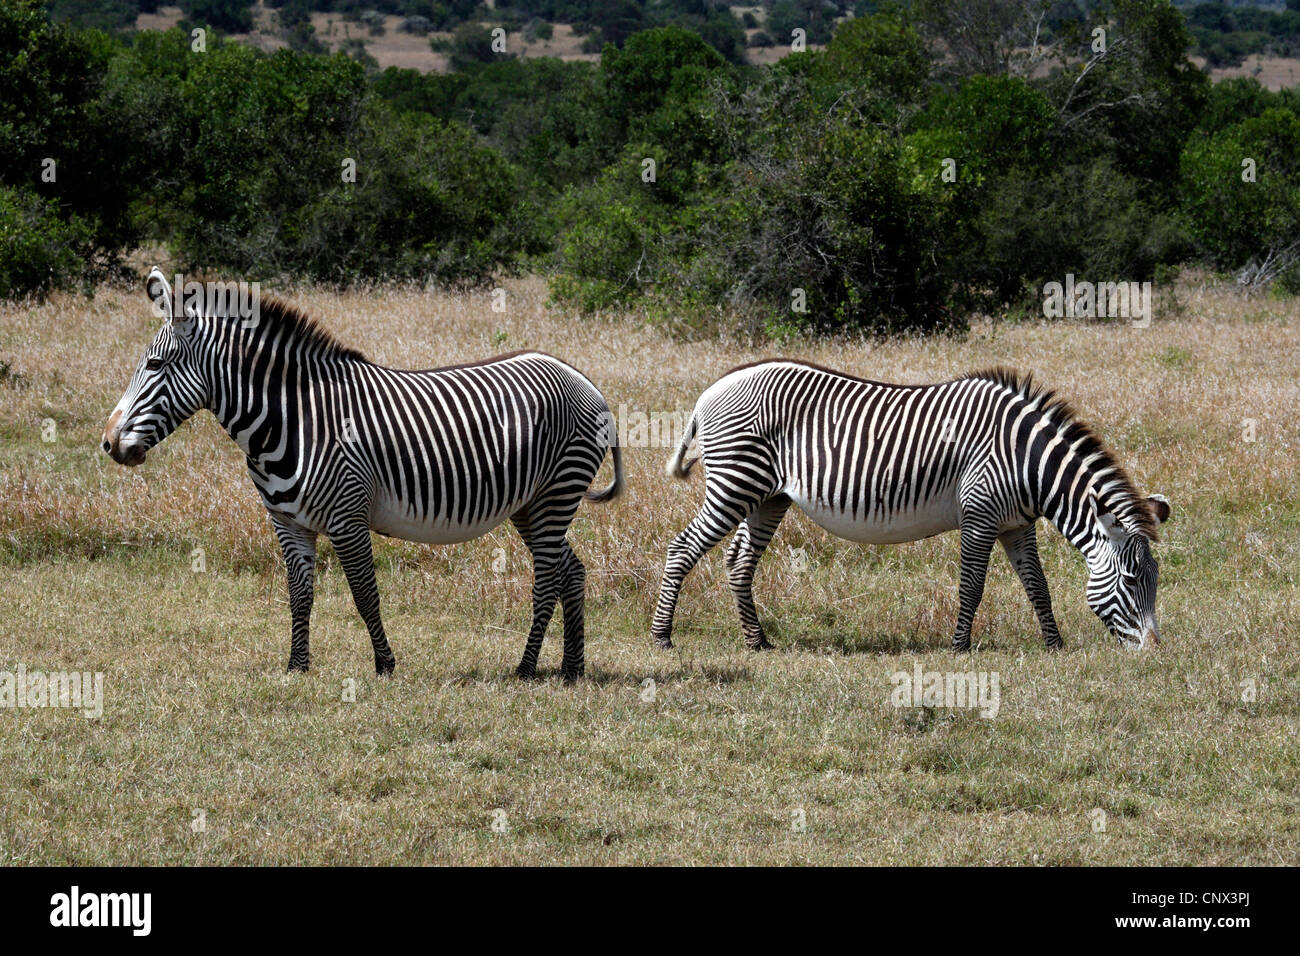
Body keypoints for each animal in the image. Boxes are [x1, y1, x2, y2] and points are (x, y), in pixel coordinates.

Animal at [104, 269, 621, 681]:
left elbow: (364, 594)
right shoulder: (287, 522)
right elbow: (300, 595)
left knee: (548, 577)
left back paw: (527, 668)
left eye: (155, 364)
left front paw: (385, 665)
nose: (109, 443)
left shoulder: (347, 516)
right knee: (571, 569)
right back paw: (571, 669)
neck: (294, 419)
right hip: (531, 505)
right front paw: (297, 666)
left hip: (557, 492)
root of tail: (580, 375)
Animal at [655, 361, 1175, 655]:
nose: (1154, 651)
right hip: (734, 483)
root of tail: (708, 392)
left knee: (739, 563)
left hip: (767, 497)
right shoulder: (980, 513)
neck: (1026, 460)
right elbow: (972, 587)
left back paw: (757, 642)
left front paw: (1055, 646)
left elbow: (1038, 587)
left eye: (1155, 579)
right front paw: (960, 648)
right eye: (1132, 580)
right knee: (682, 549)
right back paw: (663, 637)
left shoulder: (1016, 525)